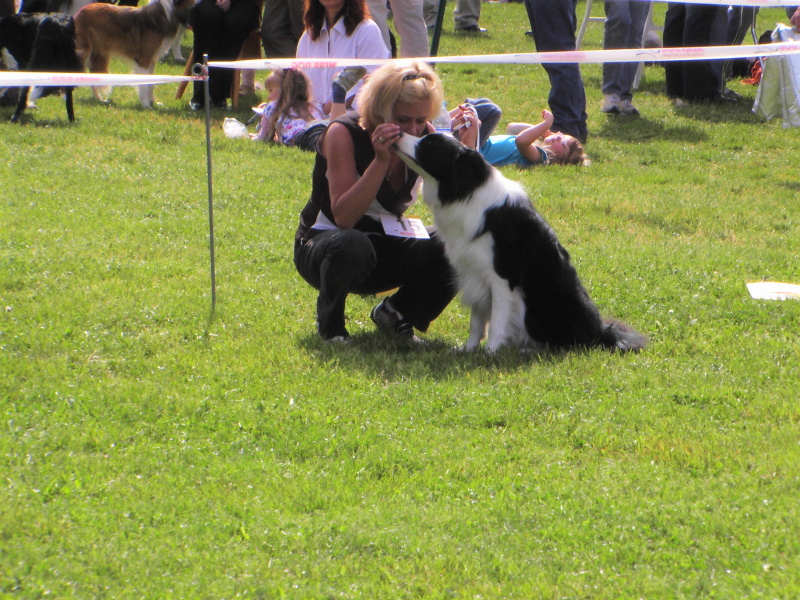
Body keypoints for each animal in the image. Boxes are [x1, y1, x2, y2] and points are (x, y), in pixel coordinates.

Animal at [396, 132, 648, 352]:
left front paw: (490, 353)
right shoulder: (475, 272)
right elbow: (476, 321)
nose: (397, 133)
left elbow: (497, 321)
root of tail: (603, 332)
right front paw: (468, 350)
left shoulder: (501, 276)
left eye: (429, 144)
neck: (466, 191)